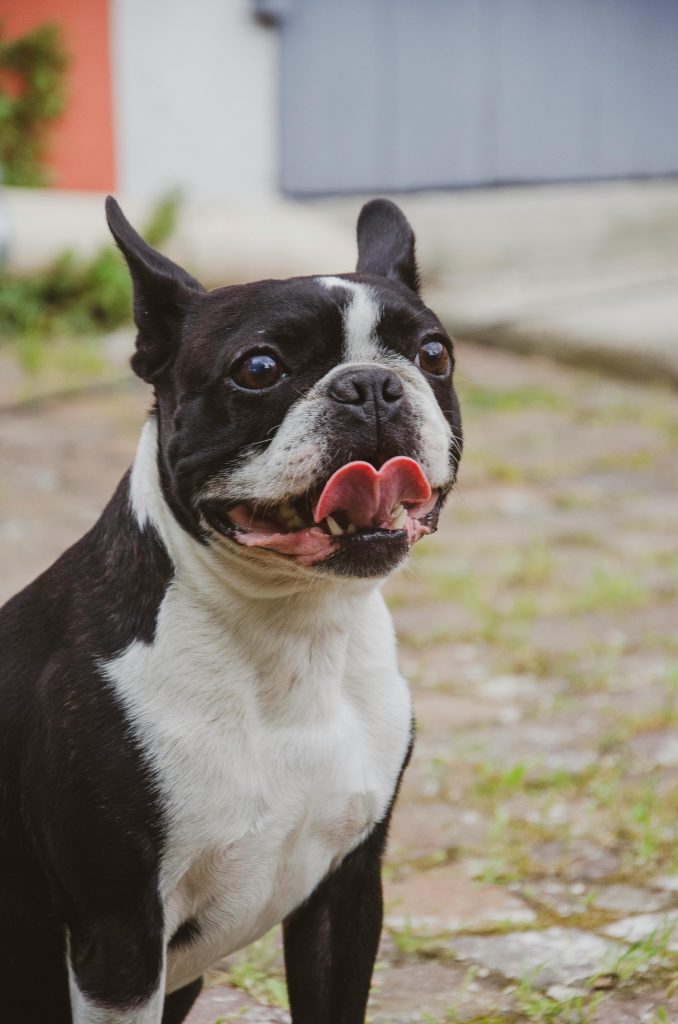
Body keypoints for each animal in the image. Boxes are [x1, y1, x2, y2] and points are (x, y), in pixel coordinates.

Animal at [0, 195, 462, 1019]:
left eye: (434, 354)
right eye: (259, 369)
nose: (371, 384)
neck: (294, 630)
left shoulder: (347, 897)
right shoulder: (119, 937)